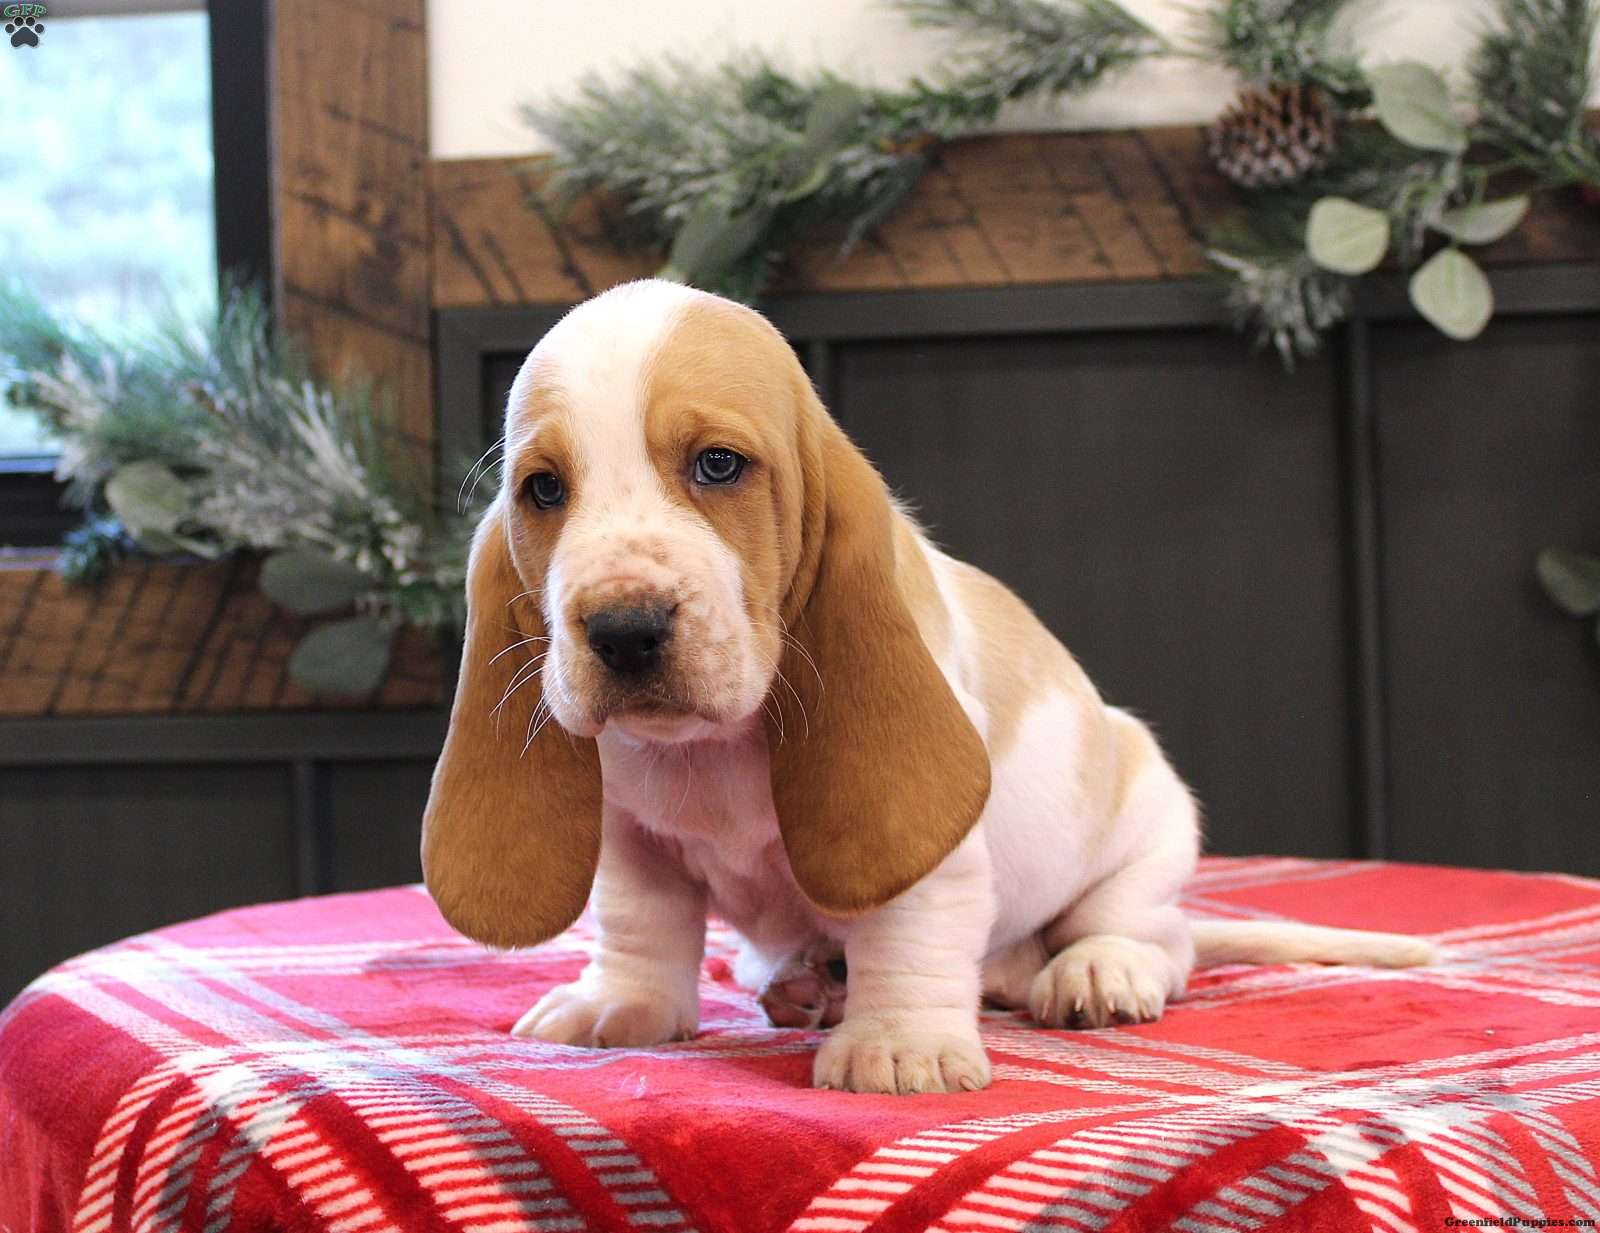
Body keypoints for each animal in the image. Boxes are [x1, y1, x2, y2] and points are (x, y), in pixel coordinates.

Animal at [421, 279, 1435, 1095]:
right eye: (544, 489)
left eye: (718, 464)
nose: (623, 629)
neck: (712, 751)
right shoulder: (632, 840)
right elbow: (641, 927)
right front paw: (620, 1003)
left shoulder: (933, 857)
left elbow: (904, 932)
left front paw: (899, 1044)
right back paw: (807, 981)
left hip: (1148, 826)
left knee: (1153, 934)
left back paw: (1093, 972)